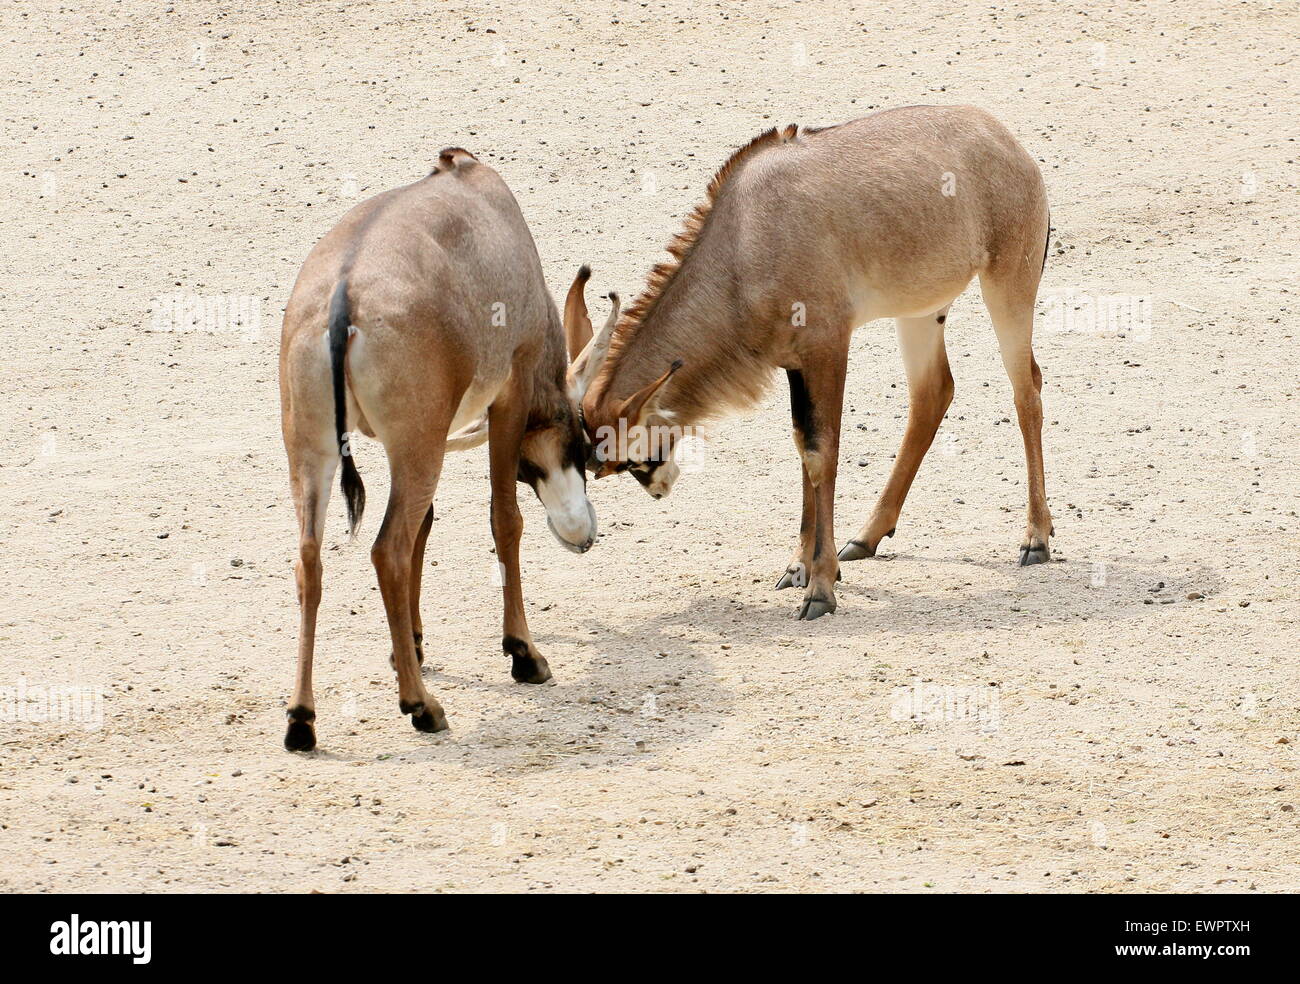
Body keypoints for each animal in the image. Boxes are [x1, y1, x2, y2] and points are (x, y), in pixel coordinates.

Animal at [280, 145, 608, 748]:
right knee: (387, 549)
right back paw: (422, 707)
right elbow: (504, 519)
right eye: (578, 443)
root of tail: (343, 299)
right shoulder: (509, 393)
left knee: (311, 559)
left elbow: (427, 528)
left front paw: (408, 645)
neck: (485, 200)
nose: (581, 536)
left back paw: (302, 720)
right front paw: (523, 654)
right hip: (417, 447)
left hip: (321, 451)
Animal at [585, 103, 1050, 618]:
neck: (745, 235)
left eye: (622, 454)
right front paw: (799, 566)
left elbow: (821, 452)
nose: (658, 488)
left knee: (1026, 389)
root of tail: (1005, 140)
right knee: (933, 394)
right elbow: (801, 445)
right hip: (921, 312)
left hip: (1008, 285)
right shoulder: (794, 363)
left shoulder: (827, 347)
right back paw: (865, 538)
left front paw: (820, 587)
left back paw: (1036, 540)